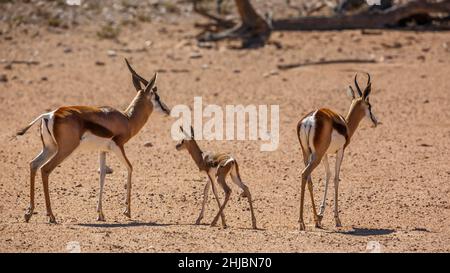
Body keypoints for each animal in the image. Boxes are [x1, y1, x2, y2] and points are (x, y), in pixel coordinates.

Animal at [16, 58, 170, 222]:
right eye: (157, 97)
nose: (167, 110)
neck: (127, 119)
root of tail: (50, 115)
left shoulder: (102, 150)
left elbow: (102, 175)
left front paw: (100, 214)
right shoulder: (118, 146)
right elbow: (130, 168)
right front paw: (127, 211)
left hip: (50, 148)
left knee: (33, 164)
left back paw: (29, 213)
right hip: (64, 150)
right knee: (45, 169)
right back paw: (51, 215)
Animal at [298, 73, 378, 230]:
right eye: (369, 105)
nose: (375, 121)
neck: (345, 125)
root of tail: (310, 119)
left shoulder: (325, 154)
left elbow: (328, 176)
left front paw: (321, 215)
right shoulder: (340, 152)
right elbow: (336, 178)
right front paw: (337, 219)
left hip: (308, 154)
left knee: (308, 179)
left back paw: (315, 220)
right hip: (316, 156)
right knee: (304, 174)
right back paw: (302, 222)